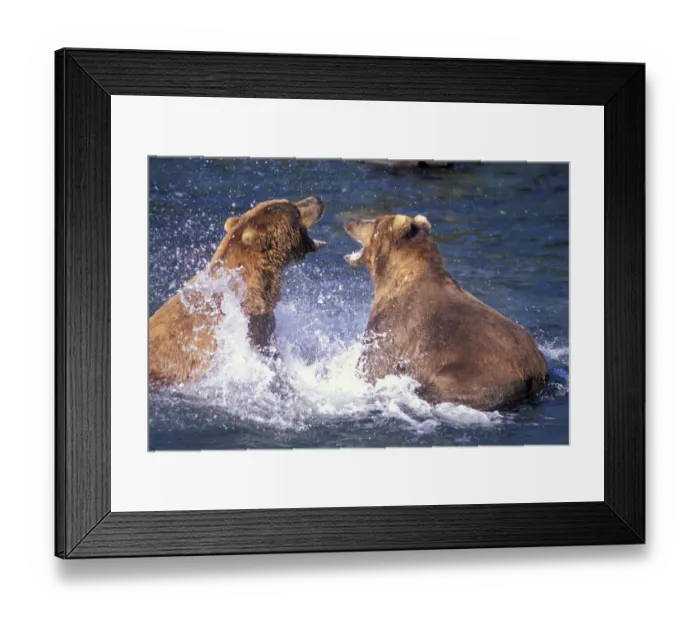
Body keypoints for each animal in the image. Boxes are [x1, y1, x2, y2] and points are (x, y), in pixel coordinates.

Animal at [344, 213, 548, 410]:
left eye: (375, 221)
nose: (350, 221)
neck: (395, 278)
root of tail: (533, 371)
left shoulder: (394, 326)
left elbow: (374, 366)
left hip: (471, 375)